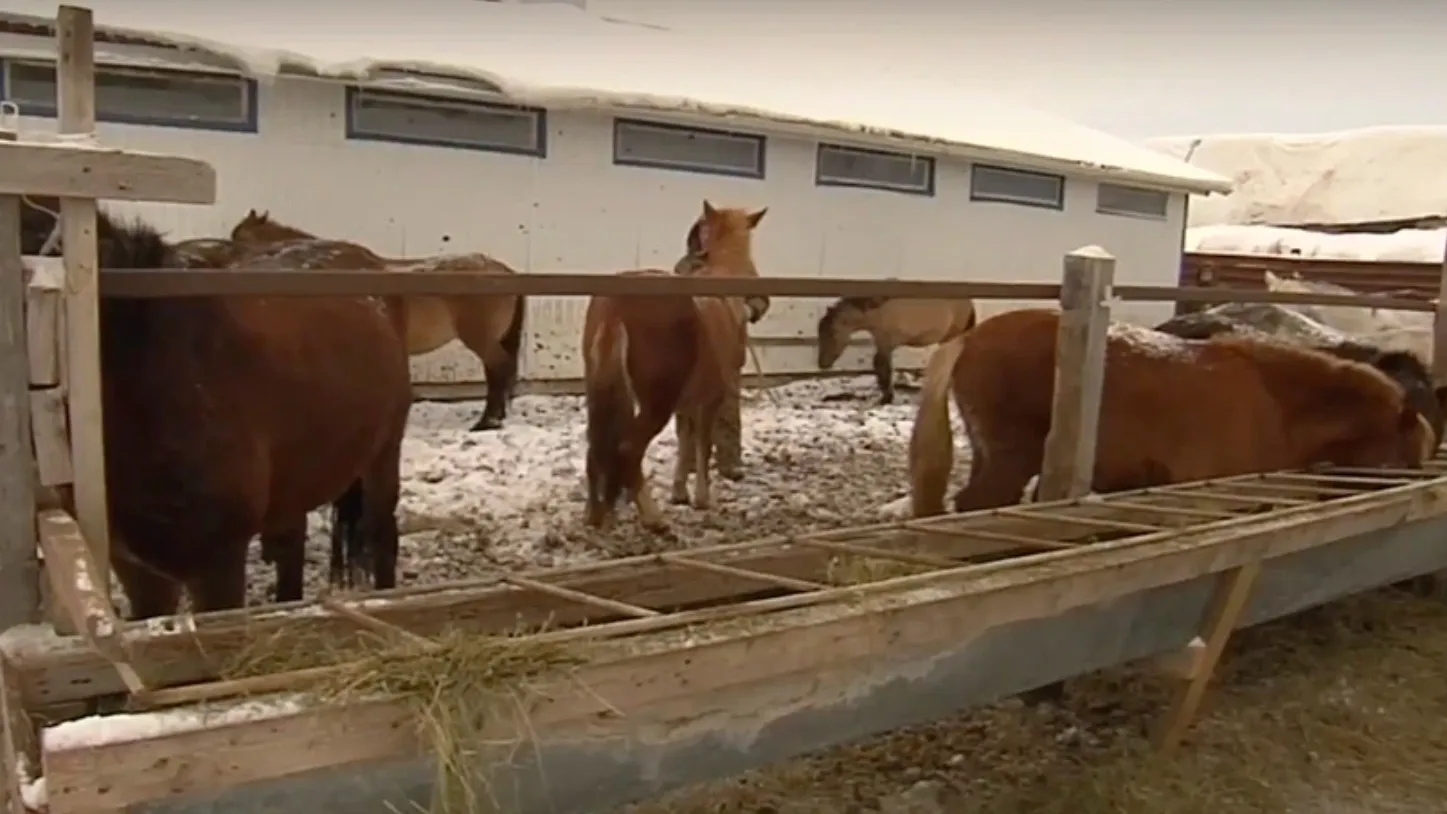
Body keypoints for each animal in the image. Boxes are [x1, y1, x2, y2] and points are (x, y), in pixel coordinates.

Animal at [584, 200, 769, 534]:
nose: (762, 303)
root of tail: (616, 301)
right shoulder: (711, 399)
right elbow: (702, 444)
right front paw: (701, 499)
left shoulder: (687, 403)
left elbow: (685, 441)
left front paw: (680, 493)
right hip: (656, 403)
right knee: (629, 450)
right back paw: (652, 518)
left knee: (596, 447)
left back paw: (595, 514)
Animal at [821, 296, 978, 404]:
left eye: (833, 332)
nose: (822, 364)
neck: (877, 310)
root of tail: (970, 305)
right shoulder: (881, 341)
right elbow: (880, 365)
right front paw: (886, 395)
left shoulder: (886, 342)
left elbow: (884, 366)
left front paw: (888, 397)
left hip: (951, 337)